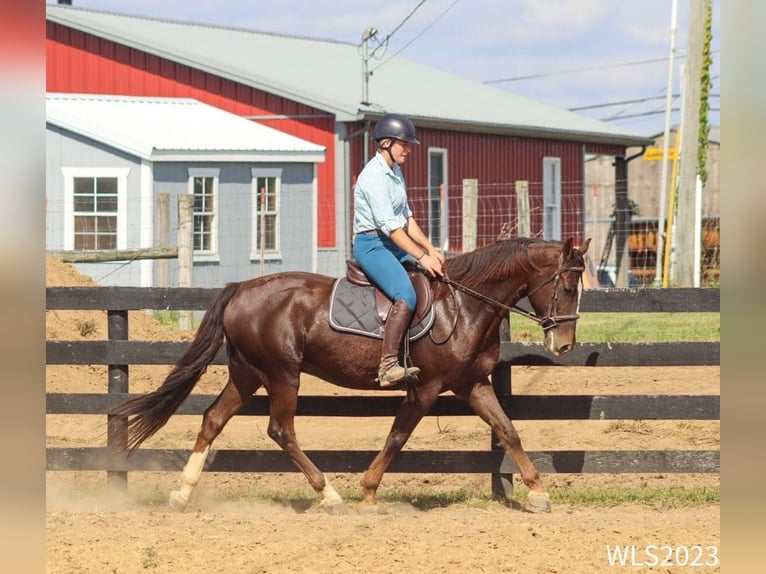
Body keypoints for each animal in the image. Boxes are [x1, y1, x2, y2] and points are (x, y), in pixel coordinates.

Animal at [109, 236, 588, 516]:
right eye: (567, 287)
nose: (564, 345)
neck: (462, 306)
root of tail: (241, 288)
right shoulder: (426, 388)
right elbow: (396, 437)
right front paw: (369, 493)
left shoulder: (472, 384)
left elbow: (508, 431)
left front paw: (539, 493)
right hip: (282, 374)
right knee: (281, 430)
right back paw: (329, 495)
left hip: (247, 373)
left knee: (212, 419)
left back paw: (182, 494)